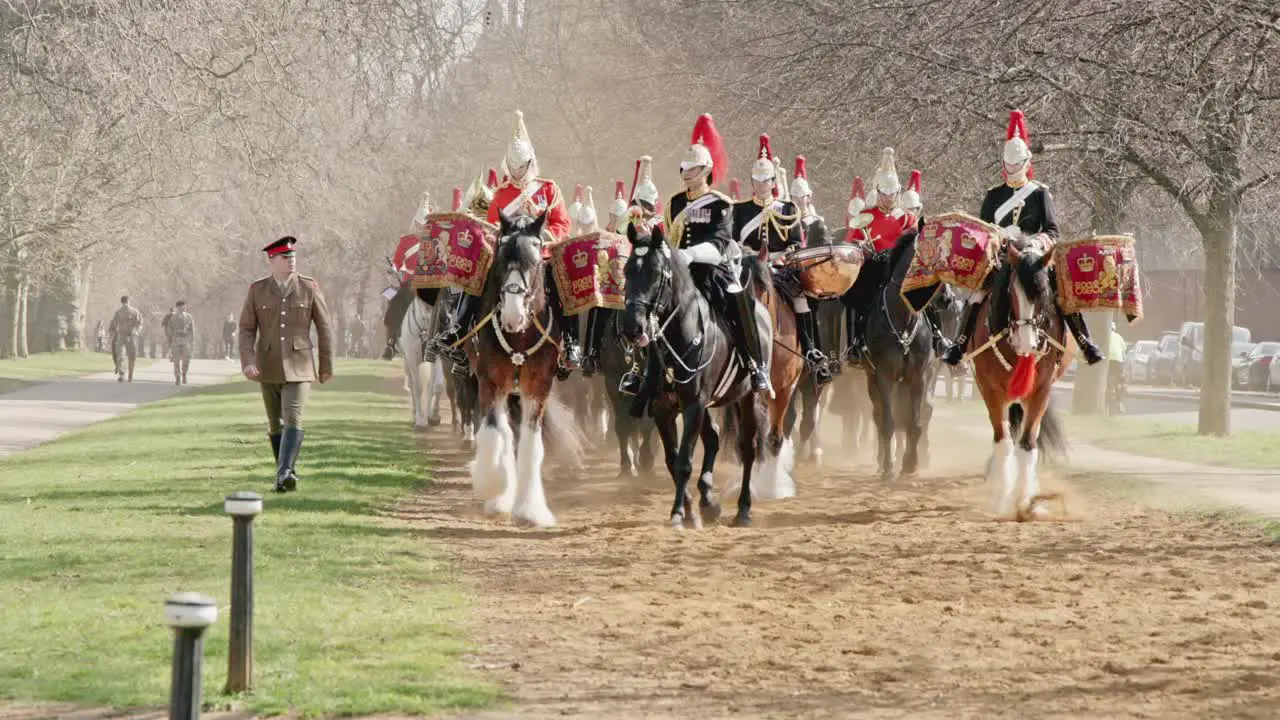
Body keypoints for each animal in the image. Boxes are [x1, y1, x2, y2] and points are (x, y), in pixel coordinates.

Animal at [401, 292, 448, 425]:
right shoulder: (412, 359)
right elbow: (418, 387)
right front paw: (419, 419)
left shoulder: (438, 358)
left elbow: (437, 386)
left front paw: (434, 416)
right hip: (406, 362)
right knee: (411, 385)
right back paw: (414, 415)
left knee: (431, 384)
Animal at [465, 212, 586, 527]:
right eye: (500, 259)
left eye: (534, 262)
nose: (512, 315)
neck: (520, 334)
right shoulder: (490, 381)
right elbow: (493, 432)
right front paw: (494, 487)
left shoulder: (538, 387)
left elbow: (532, 445)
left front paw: (530, 510)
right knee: (504, 432)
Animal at [619, 224, 768, 527]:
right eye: (627, 270)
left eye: (655, 272)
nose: (633, 327)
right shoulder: (663, 408)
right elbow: (672, 460)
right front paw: (689, 510)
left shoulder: (693, 405)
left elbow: (685, 461)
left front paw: (678, 513)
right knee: (712, 437)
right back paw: (708, 501)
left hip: (746, 397)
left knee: (748, 447)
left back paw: (743, 509)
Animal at [967, 243, 1070, 517]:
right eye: (1012, 292)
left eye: (1043, 292)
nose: (1028, 343)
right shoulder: (991, 391)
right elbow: (1004, 442)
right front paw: (1002, 499)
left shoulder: (1040, 392)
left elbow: (1027, 444)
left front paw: (1025, 502)